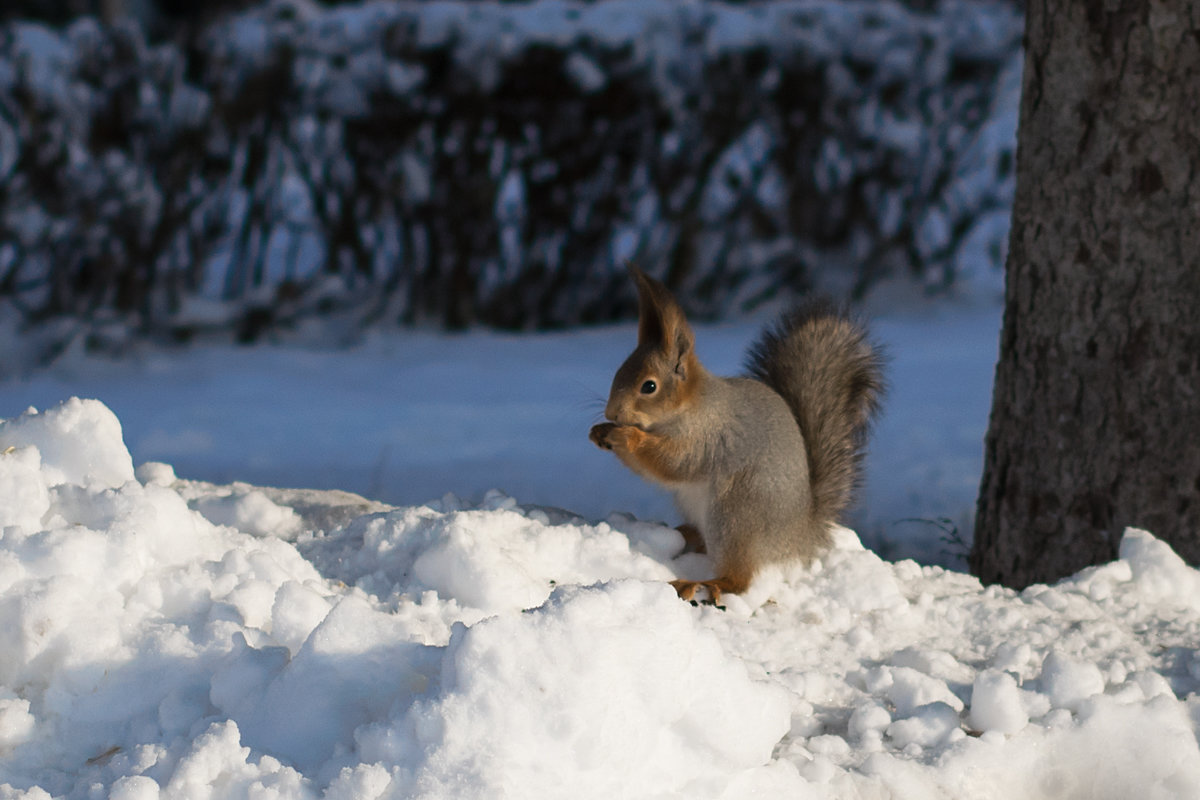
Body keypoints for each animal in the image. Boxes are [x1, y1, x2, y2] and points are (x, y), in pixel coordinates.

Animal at [588, 266, 883, 604]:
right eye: (618, 373)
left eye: (649, 386)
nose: (612, 413)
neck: (690, 407)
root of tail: (800, 538)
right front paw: (600, 431)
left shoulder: (707, 440)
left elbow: (672, 464)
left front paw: (627, 437)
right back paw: (687, 535)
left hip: (735, 517)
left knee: (740, 579)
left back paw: (704, 582)